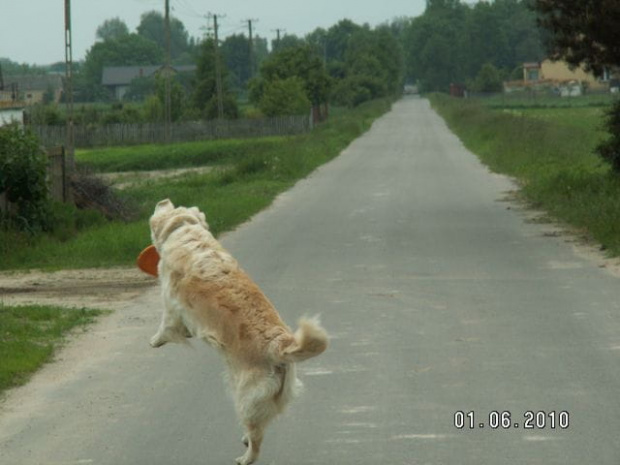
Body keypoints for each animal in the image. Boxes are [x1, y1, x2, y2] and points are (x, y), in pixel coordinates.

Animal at [149, 199, 330, 464]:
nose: (163, 201)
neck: (185, 231)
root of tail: (280, 346)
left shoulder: (170, 305)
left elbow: (165, 326)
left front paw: (155, 341)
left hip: (245, 397)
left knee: (257, 438)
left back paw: (245, 457)